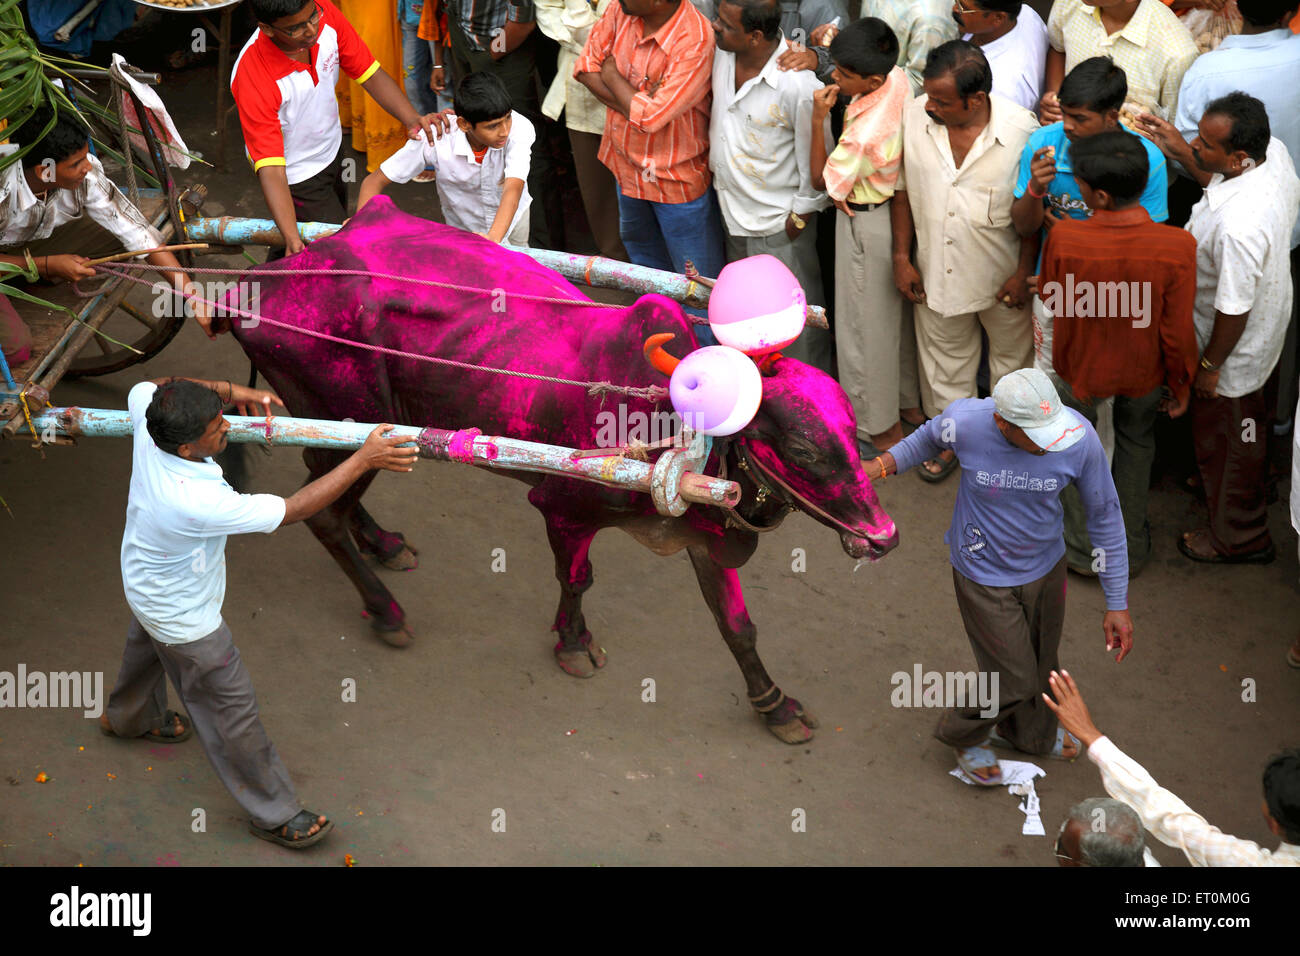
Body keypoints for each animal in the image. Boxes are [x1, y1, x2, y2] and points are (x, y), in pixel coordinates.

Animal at [228, 196, 899, 749]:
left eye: (851, 427)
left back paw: (384, 543)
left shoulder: (704, 532)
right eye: (804, 449)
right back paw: (386, 609)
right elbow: (577, 580)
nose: (884, 536)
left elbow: (737, 625)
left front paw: (775, 705)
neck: (671, 425)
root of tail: (260, 282)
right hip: (343, 421)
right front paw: (572, 644)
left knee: (331, 490)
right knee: (322, 514)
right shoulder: (563, 510)